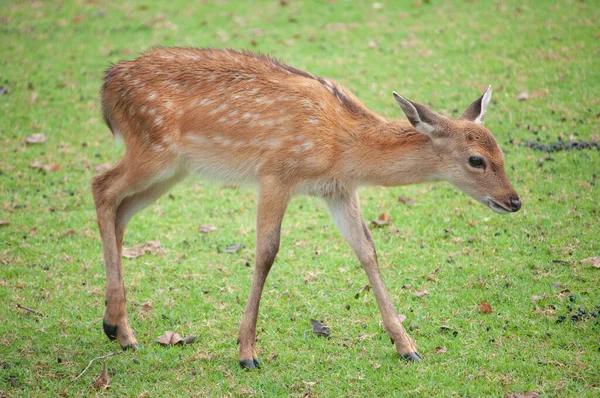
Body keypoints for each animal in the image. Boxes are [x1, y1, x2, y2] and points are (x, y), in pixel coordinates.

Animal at [94, 47, 520, 370]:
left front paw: (407, 347)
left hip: (174, 169)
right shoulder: (275, 173)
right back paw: (122, 330)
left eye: (501, 151)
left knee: (120, 209)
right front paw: (247, 352)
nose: (514, 200)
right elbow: (267, 251)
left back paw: (118, 328)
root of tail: (107, 85)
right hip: (153, 148)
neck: (344, 146)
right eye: (477, 160)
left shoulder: (339, 191)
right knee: (102, 187)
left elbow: (367, 250)